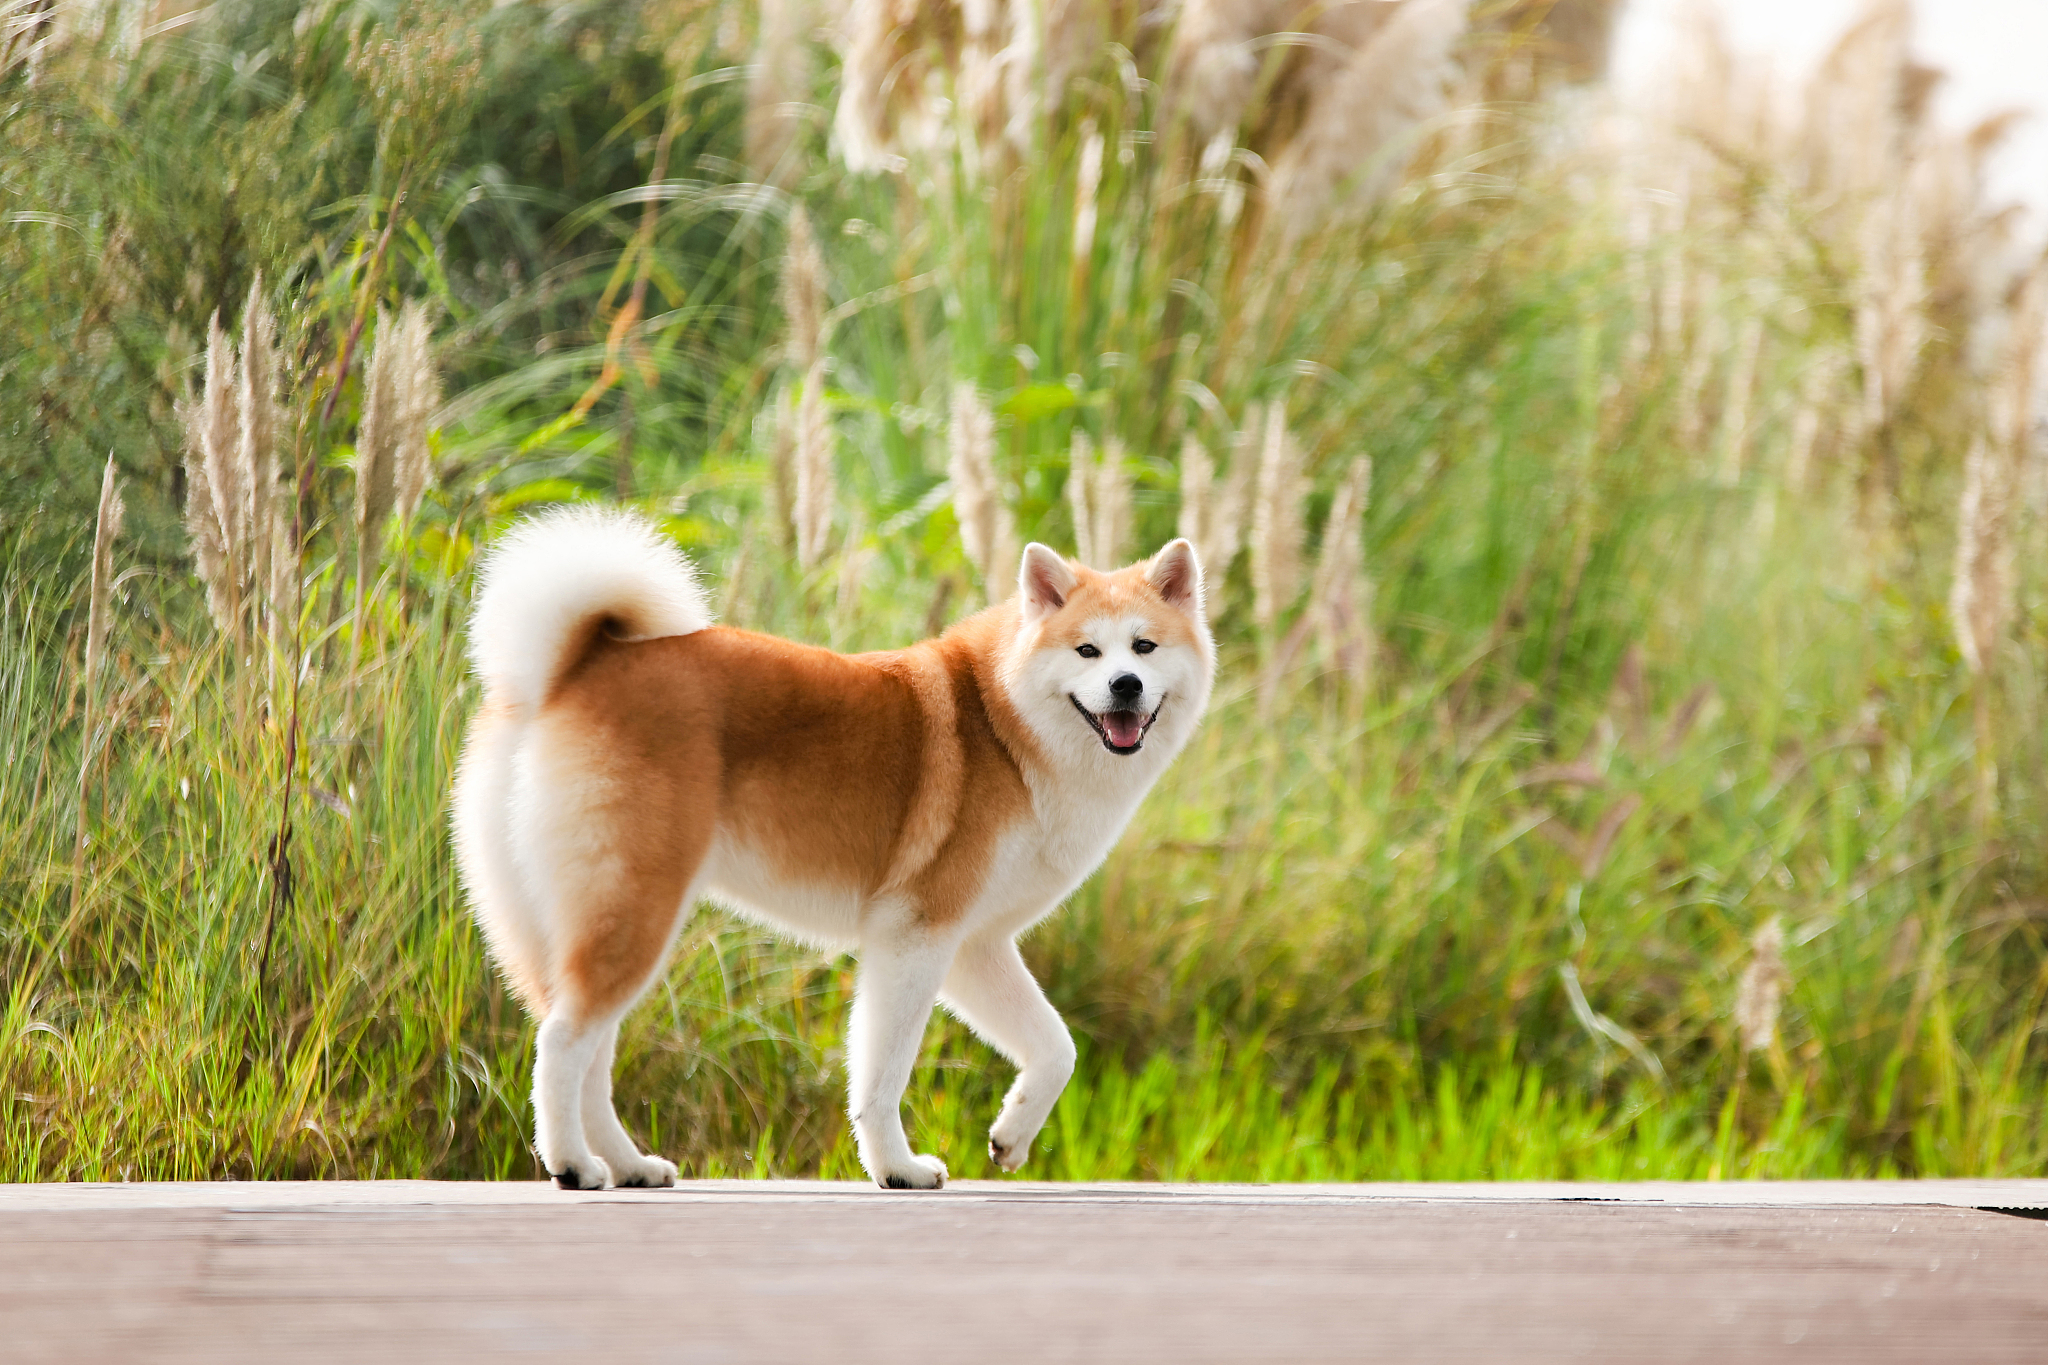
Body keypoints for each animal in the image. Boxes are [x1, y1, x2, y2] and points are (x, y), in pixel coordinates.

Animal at [454, 507, 1204, 1186]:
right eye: (1087, 651)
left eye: (1144, 648)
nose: (1126, 686)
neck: (1006, 729)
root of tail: (573, 667)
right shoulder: (916, 934)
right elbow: (883, 1075)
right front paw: (898, 1168)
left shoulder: (971, 944)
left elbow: (1055, 1046)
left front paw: (1011, 1136)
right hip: (634, 914)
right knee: (561, 1042)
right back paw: (574, 1165)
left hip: (604, 924)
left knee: (590, 1057)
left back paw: (630, 1164)